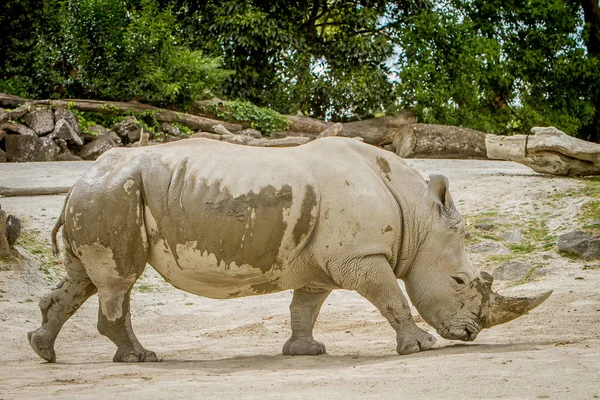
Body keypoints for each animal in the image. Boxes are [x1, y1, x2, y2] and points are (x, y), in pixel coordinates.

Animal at [29, 138, 552, 362]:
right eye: (461, 281)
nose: (469, 335)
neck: (417, 214)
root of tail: (77, 180)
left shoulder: (327, 262)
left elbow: (306, 306)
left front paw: (306, 351)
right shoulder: (361, 256)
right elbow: (392, 297)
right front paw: (420, 347)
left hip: (101, 194)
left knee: (84, 278)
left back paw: (43, 350)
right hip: (112, 194)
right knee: (118, 280)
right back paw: (141, 358)